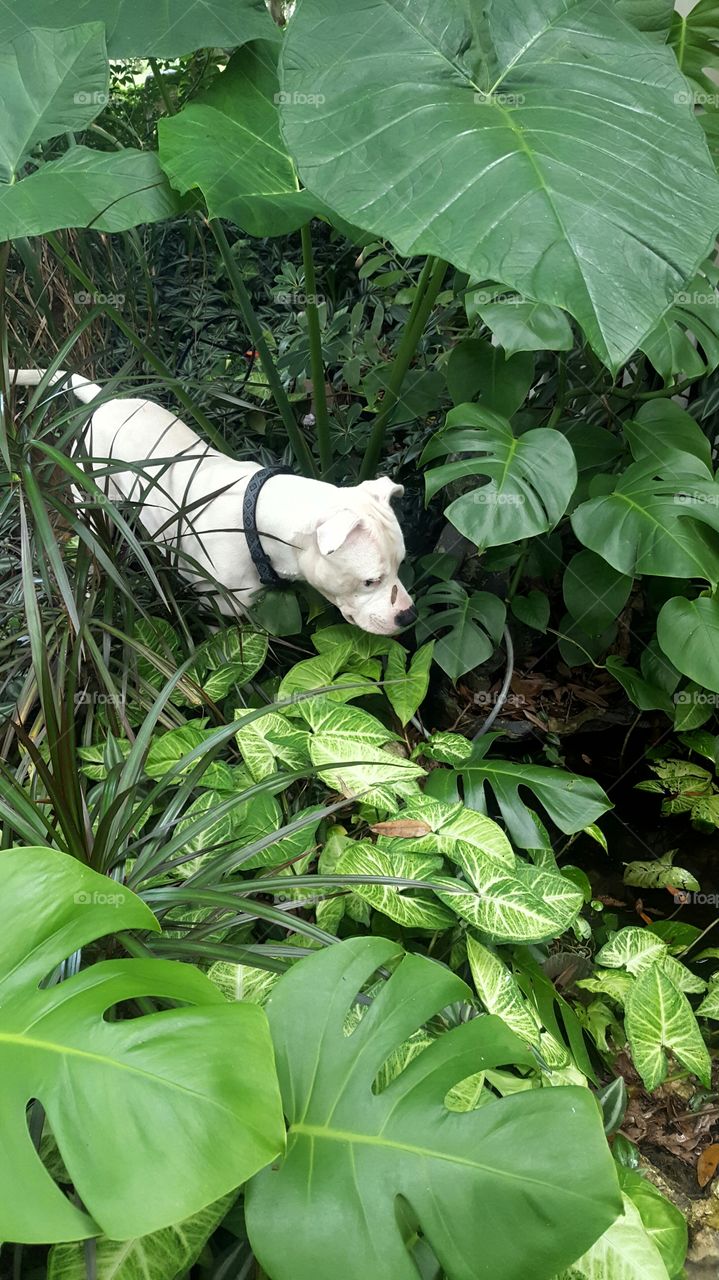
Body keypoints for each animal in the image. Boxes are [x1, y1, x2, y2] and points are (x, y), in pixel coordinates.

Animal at [11, 368, 414, 632]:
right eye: (369, 581)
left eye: (401, 565)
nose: (409, 616)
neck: (254, 521)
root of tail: (102, 401)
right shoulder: (223, 608)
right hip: (91, 495)